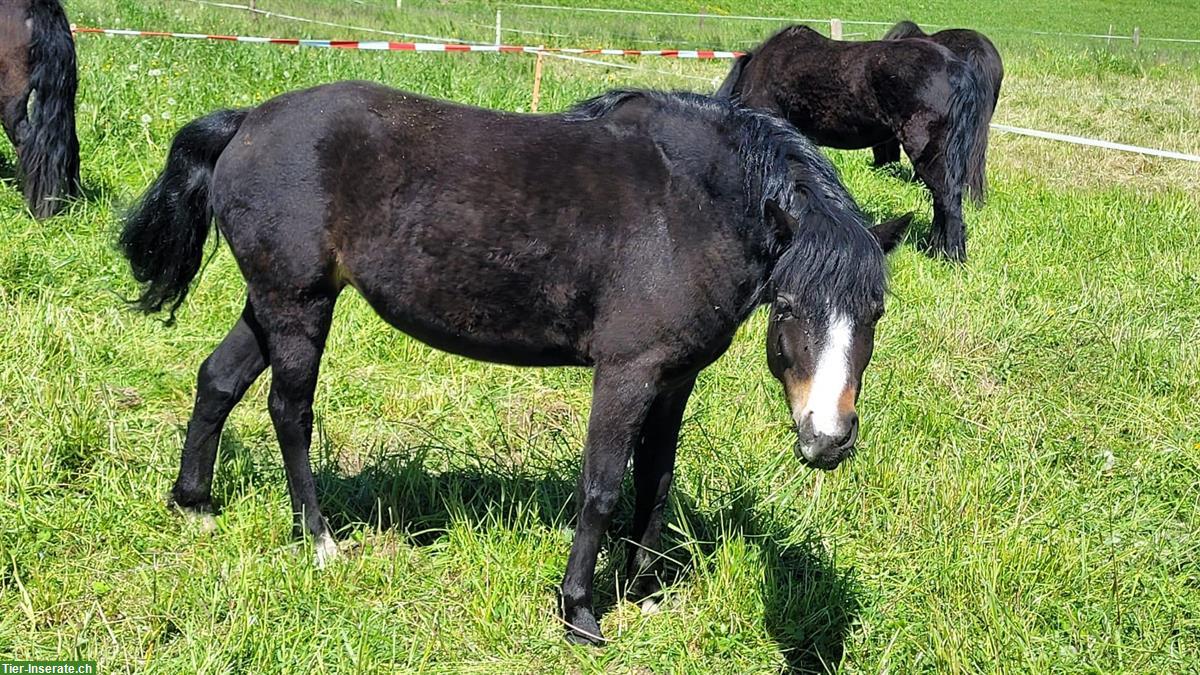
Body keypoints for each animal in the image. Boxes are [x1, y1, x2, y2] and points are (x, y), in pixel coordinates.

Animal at [121, 82, 907, 638]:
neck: (689, 203)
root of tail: (248, 121)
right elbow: (601, 487)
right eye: (789, 307)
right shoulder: (626, 372)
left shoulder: (674, 379)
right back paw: (319, 542)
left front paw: (645, 595)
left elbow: (654, 483)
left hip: (272, 302)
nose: (827, 439)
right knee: (290, 411)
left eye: (875, 312)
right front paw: (580, 612)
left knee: (217, 381)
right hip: (299, 305)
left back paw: (195, 504)